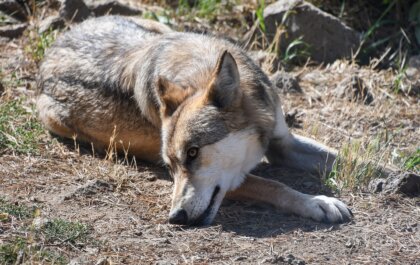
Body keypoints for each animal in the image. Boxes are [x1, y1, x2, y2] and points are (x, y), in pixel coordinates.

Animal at [36, 14, 352, 225]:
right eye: (169, 166)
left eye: (193, 153)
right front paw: (317, 203)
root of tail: (52, 47)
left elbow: (348, 159)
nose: (175, 216)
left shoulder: (282, 143)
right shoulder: (238, 178)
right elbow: (274, 185)